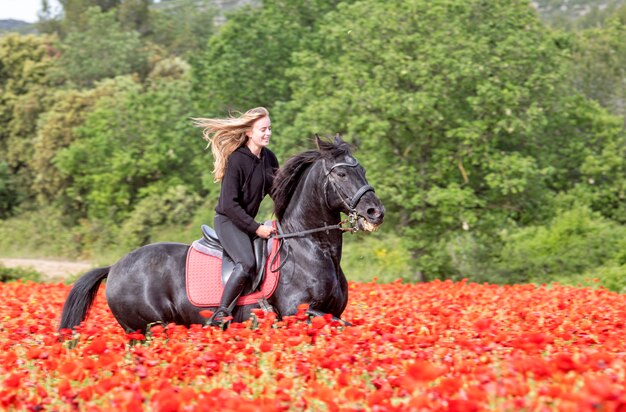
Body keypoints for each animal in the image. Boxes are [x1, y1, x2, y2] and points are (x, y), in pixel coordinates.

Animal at [58, 137, 382, 334]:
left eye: (364, 170)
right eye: (340, 174)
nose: (375, 211)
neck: (310, 248)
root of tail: (114, 267)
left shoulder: (325, 313)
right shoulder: (299, 312)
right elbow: (347, 326)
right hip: (147, 328)